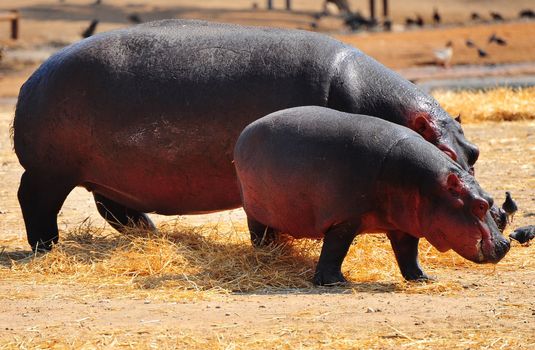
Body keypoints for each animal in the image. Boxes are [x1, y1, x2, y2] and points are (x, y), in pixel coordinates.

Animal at [14, 19, 480, 250]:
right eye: (442, 151)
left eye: (471, 152)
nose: (490, 205)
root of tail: (31, 78)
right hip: (50, 173)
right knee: (34, 202)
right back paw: (46, 247)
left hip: (109, 175)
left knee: (114, 207)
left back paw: (150, 234)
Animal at [236, 106, 510, 284]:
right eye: (479, 205)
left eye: (490, 199)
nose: (505, 244)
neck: (430, 186)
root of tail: (246, 130)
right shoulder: (344, 220)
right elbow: (335, 250)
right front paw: (335, 282)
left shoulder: (405, 226)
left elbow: (408, 254)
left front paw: (424, 278)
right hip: (255, 210)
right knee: (258, 232)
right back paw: (267, 252)